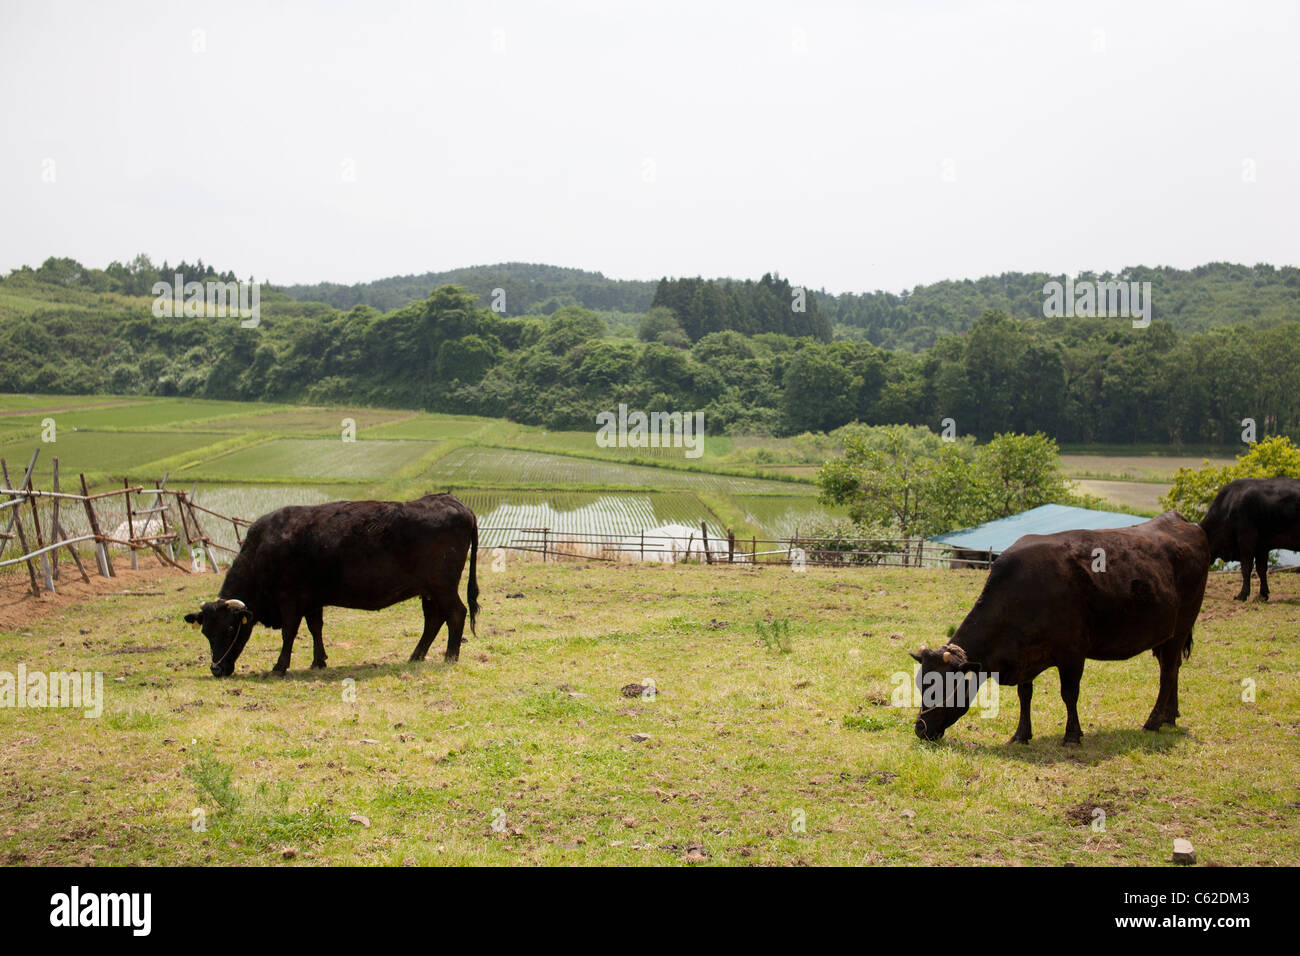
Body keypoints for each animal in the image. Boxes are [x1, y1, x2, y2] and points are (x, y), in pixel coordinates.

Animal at [183, 493, 479, 677]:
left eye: (230, 629)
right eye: (206, 632)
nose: (216, 669)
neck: (265, 548)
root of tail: (450, 499)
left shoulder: (290, 598)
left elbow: (289, 632)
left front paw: (280, 666)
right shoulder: (312, 599)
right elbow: (315, 628)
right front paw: (318, 661)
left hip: (442, 586)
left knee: (456, 614)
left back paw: (450, 656)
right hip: (429, 591)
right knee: (434, 620)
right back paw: (416, 656)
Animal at [910, 511, 1209, 746]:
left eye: (941, 687)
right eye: (920, 684)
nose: (920, 729)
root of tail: (1182, 523)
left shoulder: (1072, 654)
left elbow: (1069, 694)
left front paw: (1072, 735)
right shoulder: (1024, 655)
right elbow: (1025, 694)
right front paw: (1021, 735)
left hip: (1181, 628)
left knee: (1167, 674)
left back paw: (1154, 721)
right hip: (1167, 637)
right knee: (1173, 670)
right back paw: (1170, 716)